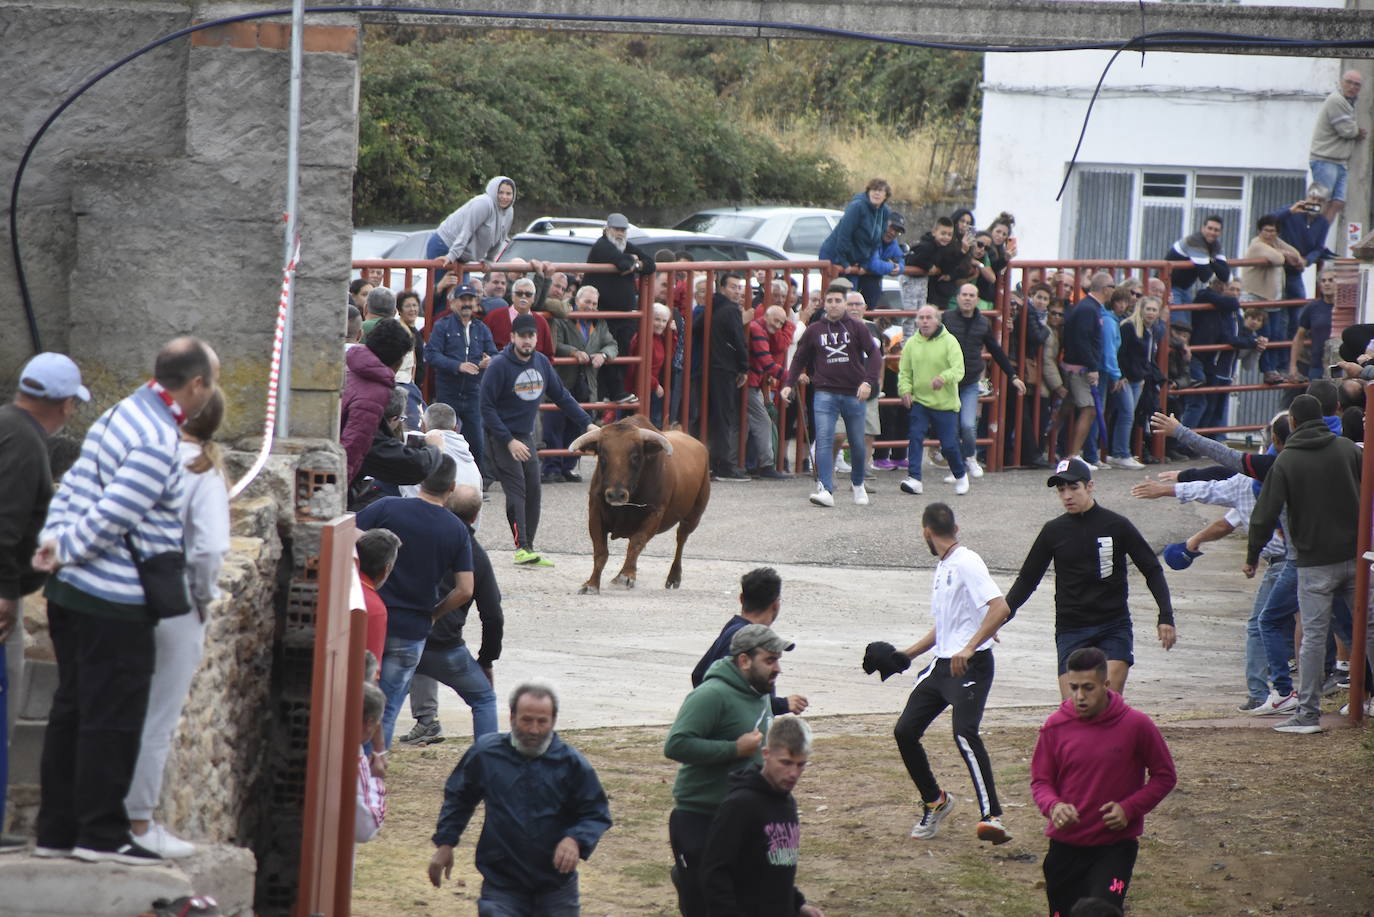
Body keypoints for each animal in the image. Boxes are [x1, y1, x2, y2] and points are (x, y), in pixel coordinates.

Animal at [568, 415, 714, 596]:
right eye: (602, 456)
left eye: (636, 456)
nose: (616, 494)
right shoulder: (595, 512)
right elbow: (600, 551)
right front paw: (592, 584)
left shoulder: (655, 513)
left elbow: (636, 543)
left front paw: (625, 576)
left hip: (694, 515)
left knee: (681, 539)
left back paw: (673, 577)